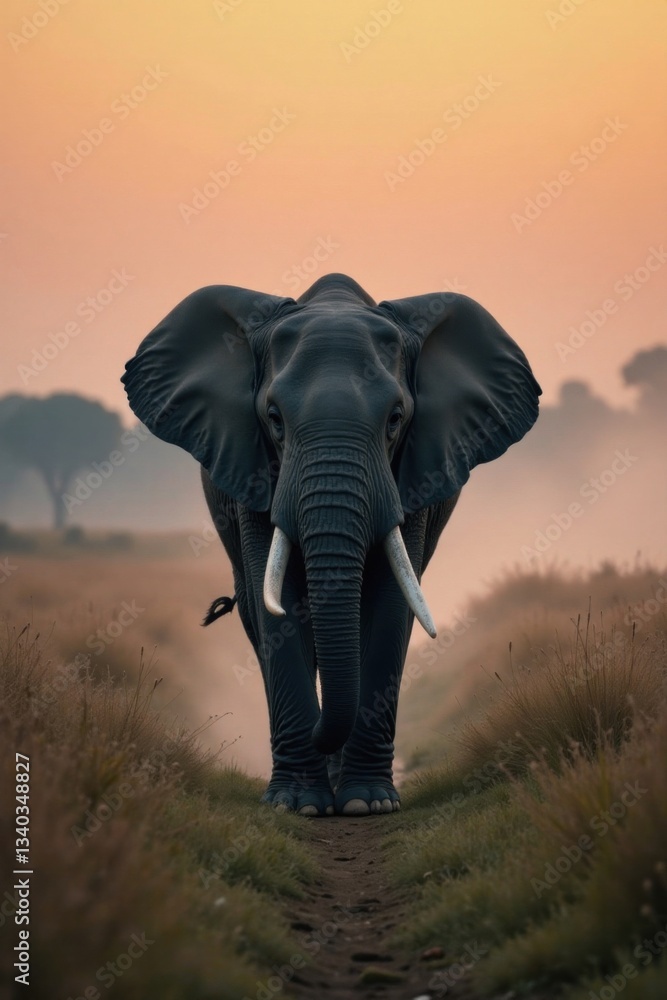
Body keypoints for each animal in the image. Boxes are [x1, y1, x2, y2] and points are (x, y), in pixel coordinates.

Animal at [121, 273, 541, 816]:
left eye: (396, 418)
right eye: (274, 418)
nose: (321, 738)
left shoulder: (413, 475)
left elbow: (389, 604)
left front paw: (368, 804)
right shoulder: (252, 468)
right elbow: (277, 606)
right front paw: (298, 805)